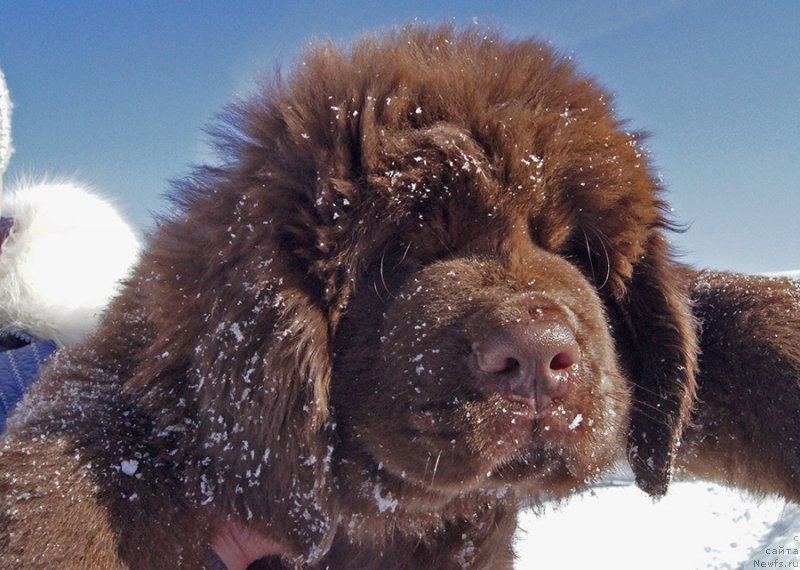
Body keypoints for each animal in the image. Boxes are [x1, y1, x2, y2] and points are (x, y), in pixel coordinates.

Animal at [1, 24, 800, 564]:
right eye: (398, 255)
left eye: (577, 251)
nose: (537, 355)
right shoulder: (127, 391)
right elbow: (72, 468)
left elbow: (729, 322)